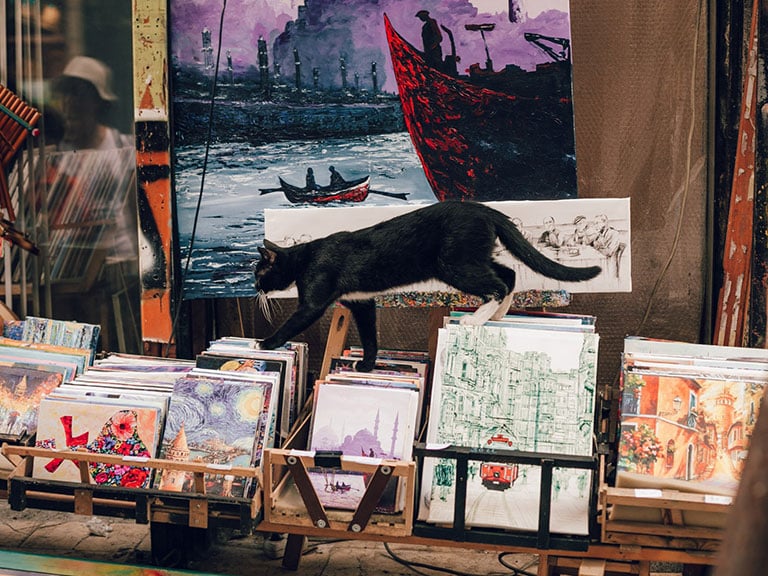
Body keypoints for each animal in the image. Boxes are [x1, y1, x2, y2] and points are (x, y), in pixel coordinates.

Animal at [255, 200, 604, 372]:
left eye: (259, 274)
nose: (255, 287)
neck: (305, 258)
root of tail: (484, 209)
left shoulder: (315, 298)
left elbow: (296, 320)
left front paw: (267, 343)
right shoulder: (361, 301)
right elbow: (369, 335)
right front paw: (366, 365)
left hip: (454, 264)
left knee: (498, 283)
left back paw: (477, 319)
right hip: (471, 258)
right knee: (507, 273)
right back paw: (497, 315)